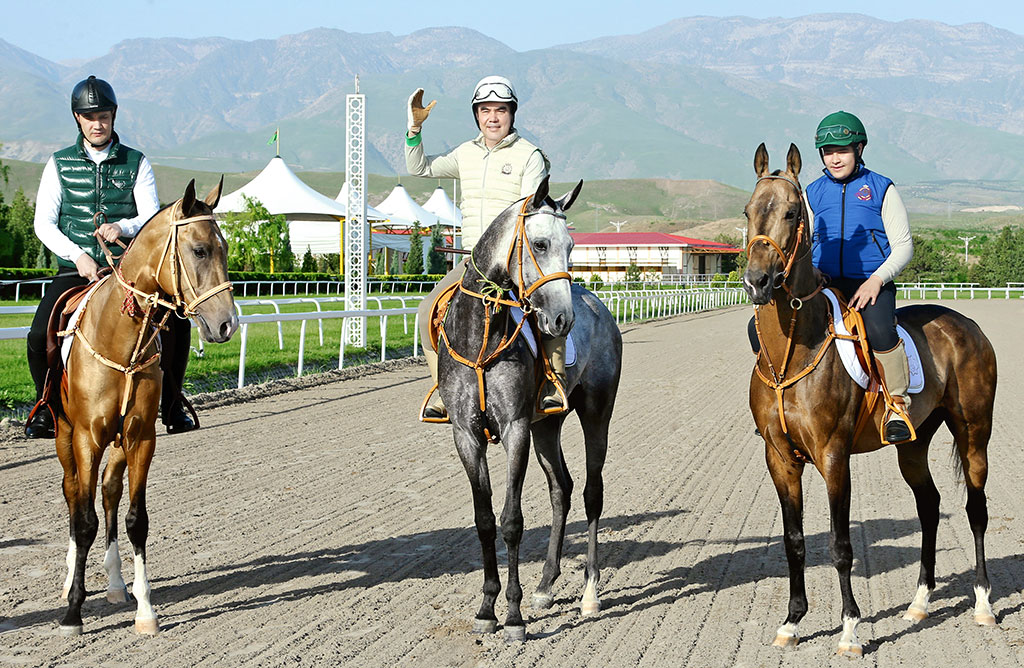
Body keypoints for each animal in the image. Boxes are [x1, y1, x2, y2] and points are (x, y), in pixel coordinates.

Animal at [57, 178, 238, 635]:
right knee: (74, 494)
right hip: (65, 435)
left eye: (226, 247)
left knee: (108, 491)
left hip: (119, 442)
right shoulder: (86, 437)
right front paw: (73, 612)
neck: (120, 341)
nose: (228, 323)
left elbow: (136, 519)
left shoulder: (140, 436)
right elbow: (83, 520)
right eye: (199, 250)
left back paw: (116, 584)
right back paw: (70, 578)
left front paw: (145, 609)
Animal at [434, 176, 618, 643]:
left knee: (591, 493)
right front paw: (487, 608)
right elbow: (484, 519)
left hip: (596, 414)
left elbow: (512, 520)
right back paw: (547, 585)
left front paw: (513, 616)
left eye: (572, 246)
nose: (562, 320)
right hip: (545, 427)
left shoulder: (514, 428)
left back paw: (590, 594)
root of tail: (595, 304)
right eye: (539, 243)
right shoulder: (466, 434)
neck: (482, 338)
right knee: (561, 489)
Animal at [741, 143, 995, 655]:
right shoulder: (779, 457)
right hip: (913, 445)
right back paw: (919, 603)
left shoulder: (834, 456)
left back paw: (982, 604)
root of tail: (967, 326)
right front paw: (792, 622)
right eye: (748, 211)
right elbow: (794, 540)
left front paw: (850, 630)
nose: (757, 281)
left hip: (974, 434)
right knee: (930, 505)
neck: (792, 354)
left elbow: (840, 545)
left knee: (975, 510)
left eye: (792, 211)